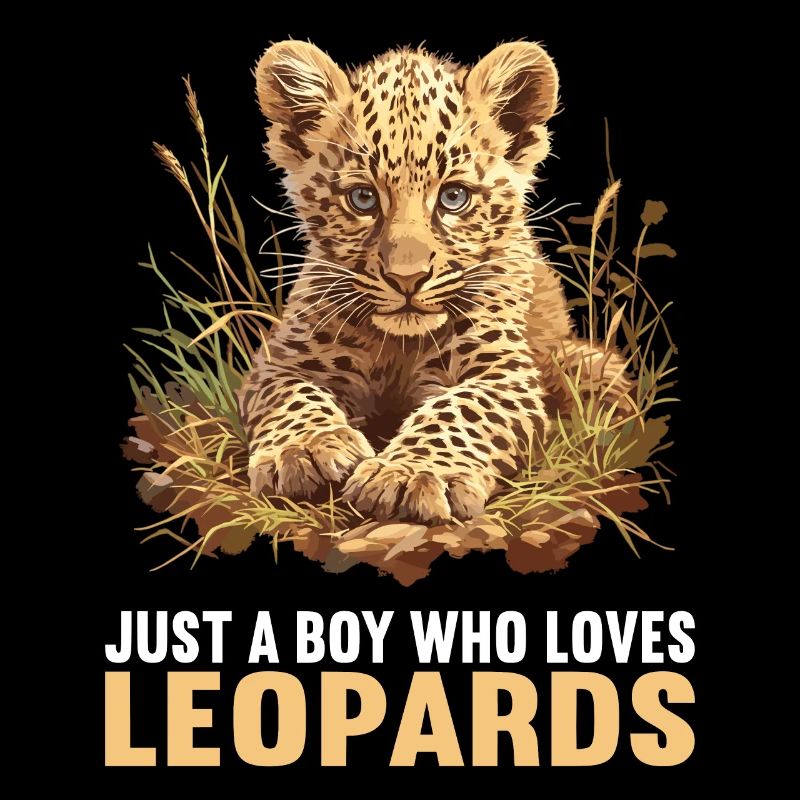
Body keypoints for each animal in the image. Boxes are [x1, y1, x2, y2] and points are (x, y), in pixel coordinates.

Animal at [238, 39, 633, 526]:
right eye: (362, 198)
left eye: (454, 197)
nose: (406, 279)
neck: (398, 346)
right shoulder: (282, 362)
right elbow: (293, 396)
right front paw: (304, 450)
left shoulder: (500, 372)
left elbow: (460, 410)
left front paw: (411, 475)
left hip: (585, 362)